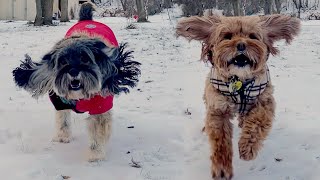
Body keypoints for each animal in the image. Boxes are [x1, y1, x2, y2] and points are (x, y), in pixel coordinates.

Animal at [12, 2, 140, 162]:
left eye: (85, 58)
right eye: (63, 61)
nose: (73, 71)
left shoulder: (100, 107)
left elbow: (97, 131)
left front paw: (95, 154)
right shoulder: (60, 102)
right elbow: (63, 120)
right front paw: (62, 136)